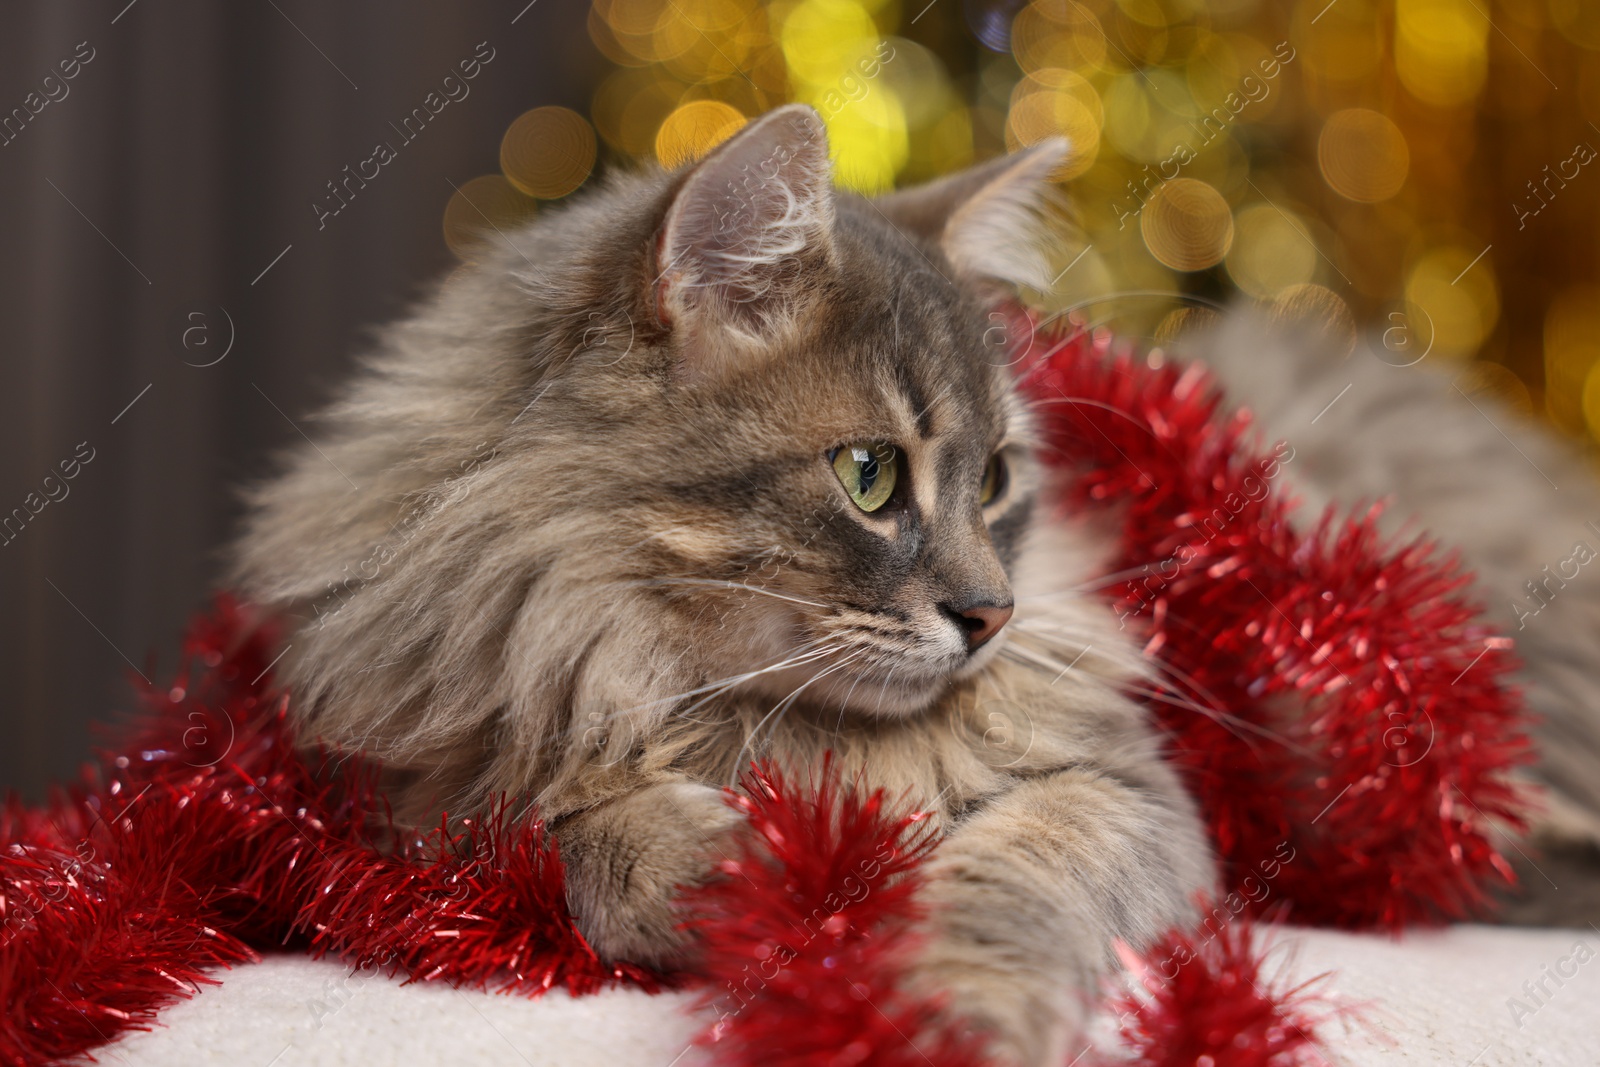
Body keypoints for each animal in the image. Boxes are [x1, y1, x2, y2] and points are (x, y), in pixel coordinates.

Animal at [232, 106, 1600, 1062]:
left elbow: (1008, 881)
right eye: (869, 474)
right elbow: (560, 835)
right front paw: (743, 869)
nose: (992, 614)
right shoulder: (410, 791)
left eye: (994, 476)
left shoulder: (1124, 793)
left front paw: (943, 1002)